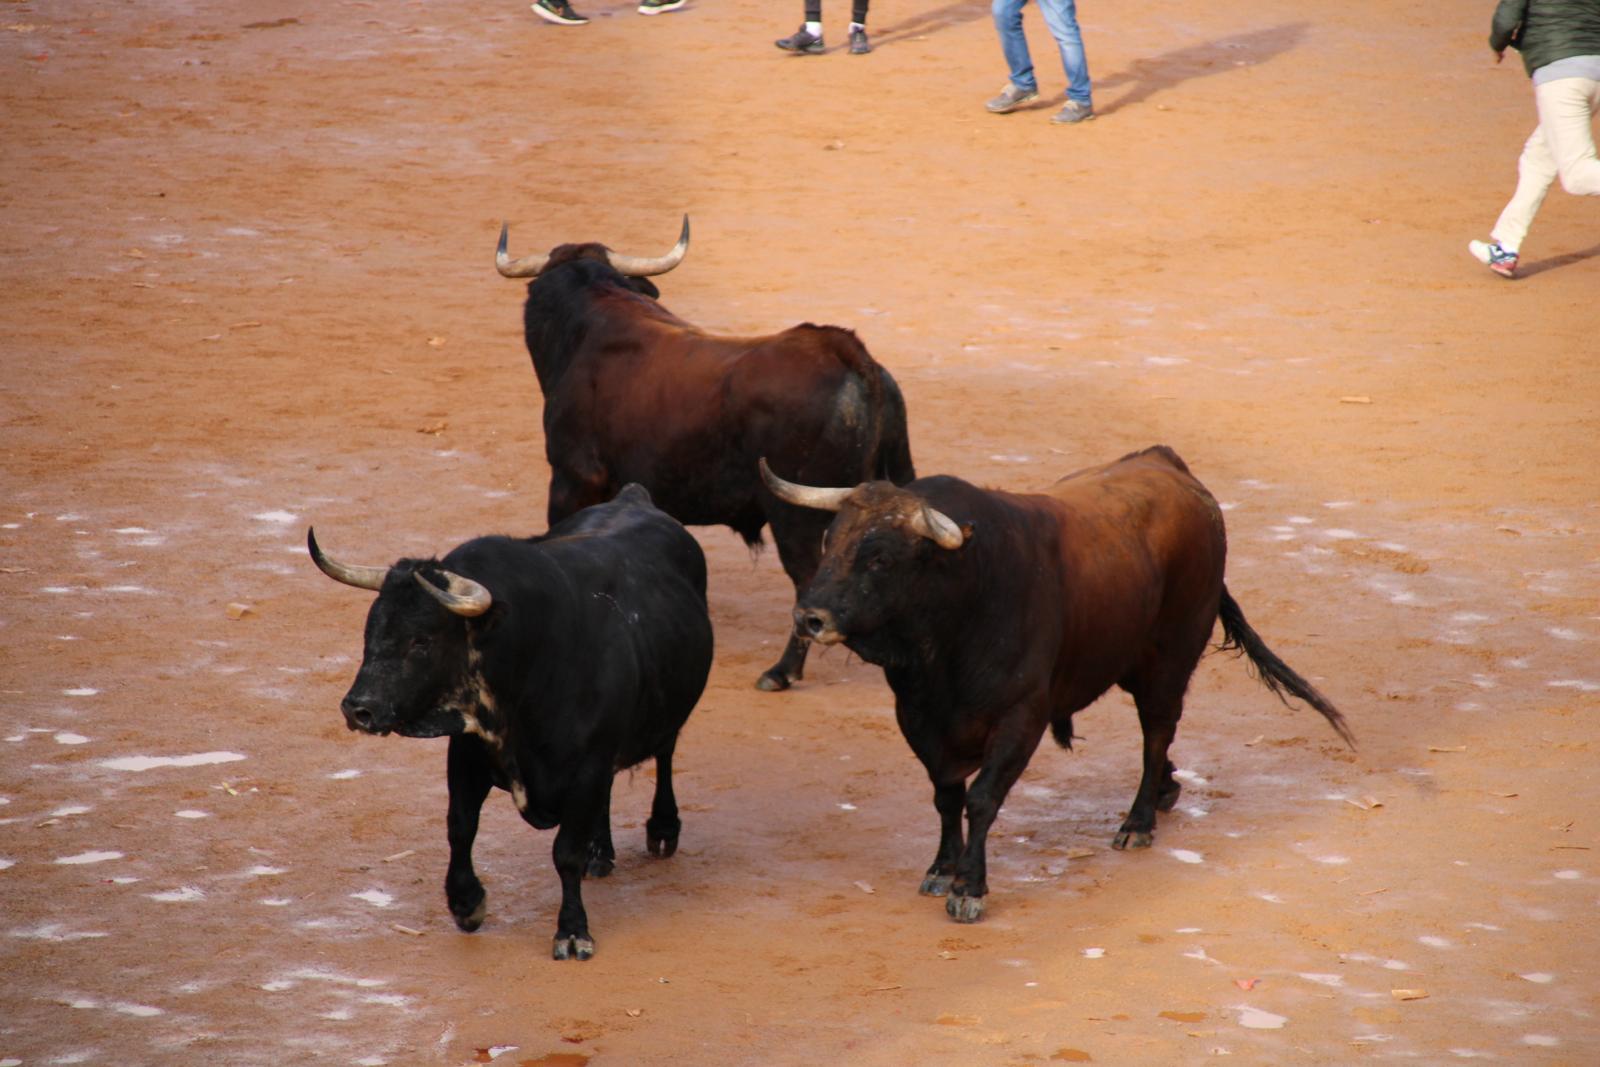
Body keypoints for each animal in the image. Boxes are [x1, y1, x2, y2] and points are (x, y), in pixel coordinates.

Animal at [312, 483, 713, 959]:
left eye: (422, 639)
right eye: (370, 630)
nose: (359, 708)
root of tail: (634, 497)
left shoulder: (587, 769)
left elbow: (565, 853)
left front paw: (572, 930)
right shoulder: (467, 753)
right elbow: (460, 827)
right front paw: (466, 903)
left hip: (665, 718)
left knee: (665, 756)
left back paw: (662, 828)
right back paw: (602, 851)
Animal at [492, 220, 921, 697]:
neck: (588, 326)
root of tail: (849, 355)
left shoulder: (571, 479)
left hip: (797, 514)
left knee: (810, 579)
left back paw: (780, 671)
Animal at [761, 447, 1350, 921]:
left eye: (881, 558)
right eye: (829, 540)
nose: (808, 617)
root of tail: (1174, 469)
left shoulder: (1021, 717)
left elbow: (982, 798)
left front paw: (969, 887)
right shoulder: (918, 715)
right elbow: (946, 797)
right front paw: (941, 867)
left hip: (1169, 662)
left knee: (1156, 732)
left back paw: (1138, 820)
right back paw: (1166, 789)